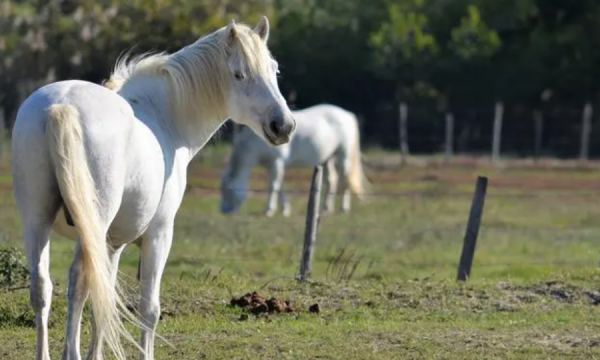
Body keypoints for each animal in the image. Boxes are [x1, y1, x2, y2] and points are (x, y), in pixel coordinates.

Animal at [12, 17, 296, 360]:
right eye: (240, 74)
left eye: (274, 69)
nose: (283, 126)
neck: (163, 116)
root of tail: (61, 107)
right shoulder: (159, 236)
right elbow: (149, 309)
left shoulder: (112, 244)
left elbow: (103, 303)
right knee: (78, 282)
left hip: (36, 222)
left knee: (43, 287)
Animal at [219, 104, 366, 217]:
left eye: (228, 191)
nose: (224, 212)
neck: (256, 142)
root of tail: (347, 115)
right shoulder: (271, 166)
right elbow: (280, 187)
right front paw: (285, 210)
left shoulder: (277, 162)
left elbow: (273, 186)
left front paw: (269, 210)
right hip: (327, 159)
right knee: (332, 181)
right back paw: (326, 209)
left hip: (343, 156)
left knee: (344, 181)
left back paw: (343, 209)